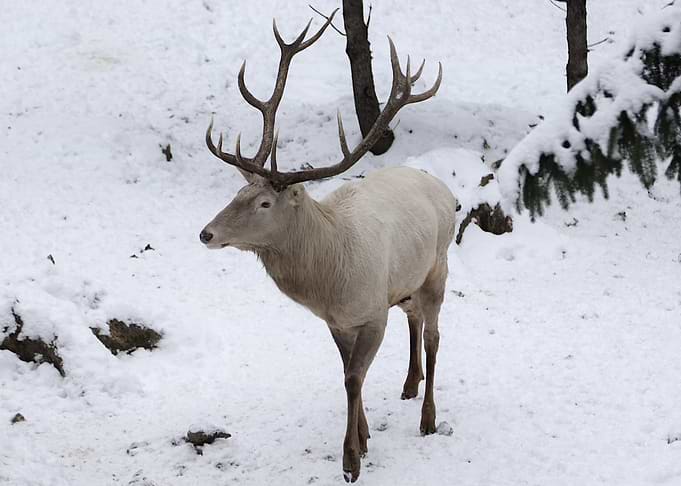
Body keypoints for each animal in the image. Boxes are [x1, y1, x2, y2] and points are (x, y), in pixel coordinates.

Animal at [199, 10, 456, 482]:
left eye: (264, 203)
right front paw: (365, 436)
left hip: (439, 266)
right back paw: (409, 386)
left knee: (433, 335)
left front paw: (351, 459)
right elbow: (347, 371)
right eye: (238, 193)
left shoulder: (372, 313)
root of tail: (444, 189)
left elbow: (353, 378)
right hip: (405, 281)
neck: (331, 279)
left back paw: (428, 417)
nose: (206, 233)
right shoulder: (335, 322)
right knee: (413, 317)